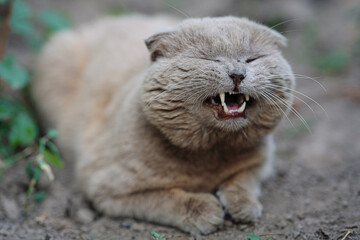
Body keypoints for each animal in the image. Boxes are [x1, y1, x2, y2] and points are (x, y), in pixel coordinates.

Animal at [31, 15, 296, 234]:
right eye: (209, 58)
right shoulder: (107, 187)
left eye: (253, 59)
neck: (210, 153)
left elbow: (244, 179)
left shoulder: (262, 160)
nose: (238, 73)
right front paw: (205, 211)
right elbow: (164, 198)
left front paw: (244, 206)